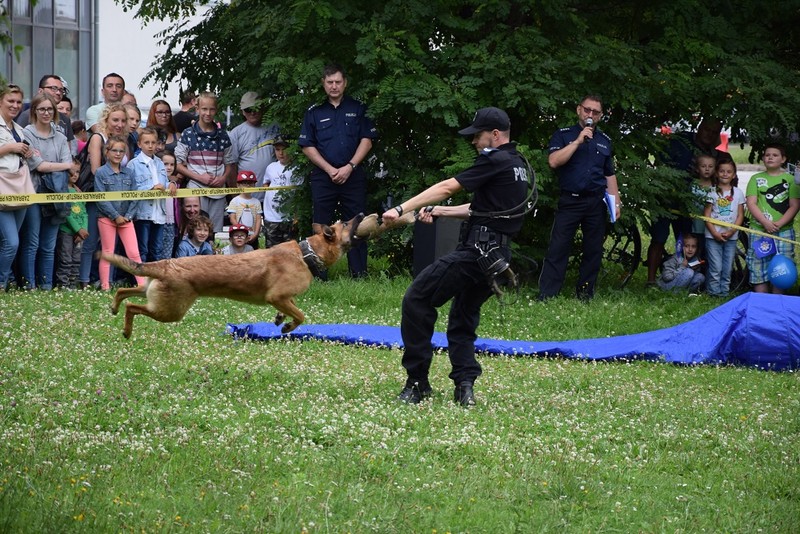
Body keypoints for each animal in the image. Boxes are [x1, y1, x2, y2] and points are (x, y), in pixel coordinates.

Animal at [101, 215, 364, 338]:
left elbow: (292, 308)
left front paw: (281, 319)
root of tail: (165, 265)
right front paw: (288, 326)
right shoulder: (276, 296)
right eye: (345, 222)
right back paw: (126, 330)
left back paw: (114, 307)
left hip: (153, 293)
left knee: (124, 292)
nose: (361, 213)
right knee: (132, 307)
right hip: (170, 310)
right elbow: (300, 315)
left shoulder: (284, 298)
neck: (306, 253)